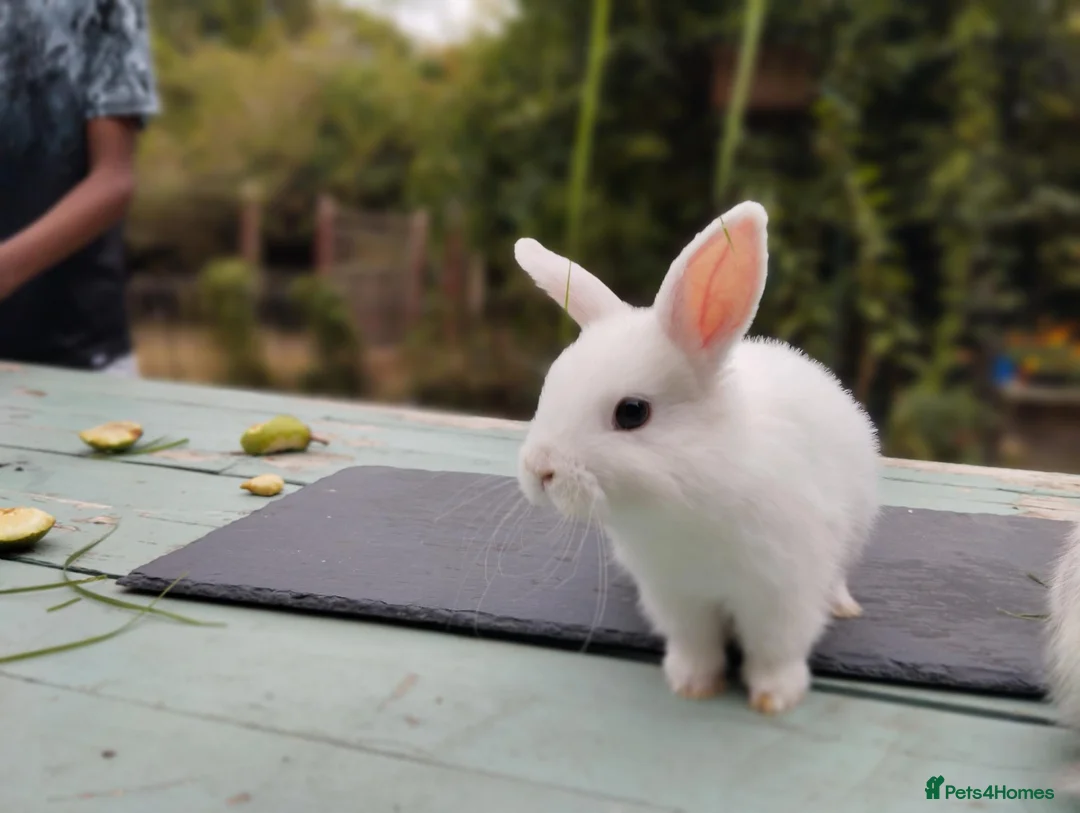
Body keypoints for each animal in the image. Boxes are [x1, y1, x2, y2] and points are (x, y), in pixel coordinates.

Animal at [512, 200, 881, 715]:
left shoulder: (782, 593)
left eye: (632, 412)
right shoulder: (677, 597)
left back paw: (843, 605)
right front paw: (692, 685)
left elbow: (775, 649)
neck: (689, 502)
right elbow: (696, 644)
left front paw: (776, 698)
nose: (539, 470)